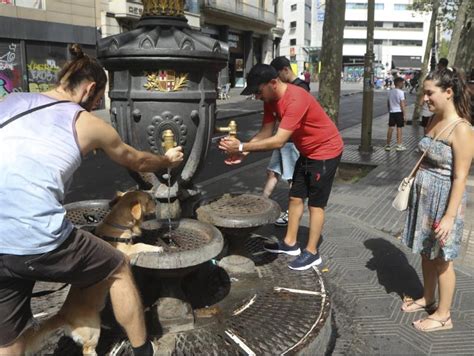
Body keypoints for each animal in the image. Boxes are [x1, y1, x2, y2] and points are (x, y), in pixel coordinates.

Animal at [24, 192, 165, 356]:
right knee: (87, 349)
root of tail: (62, 315)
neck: (117, 225)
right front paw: (157, 248)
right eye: (148, 199)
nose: (156, 202)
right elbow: (140, 245)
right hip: (92, 330)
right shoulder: (127, 251)